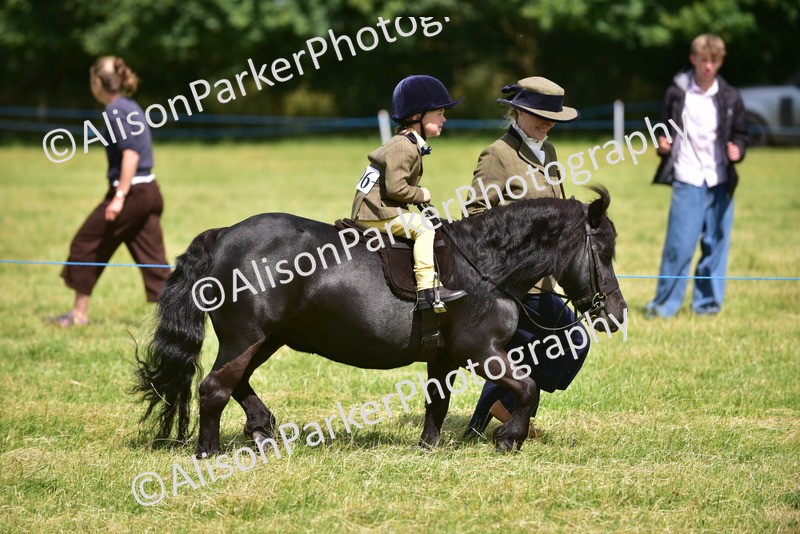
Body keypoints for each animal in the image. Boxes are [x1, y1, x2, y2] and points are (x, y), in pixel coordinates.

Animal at [134, 185, 627, 455]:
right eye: (603, 253)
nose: (617, 314)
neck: (486, 264)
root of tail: (222, 237)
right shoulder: (481, 351)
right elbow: (526, 388)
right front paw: (509, 437)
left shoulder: (444, 358)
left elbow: (437, 403)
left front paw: (428, 448)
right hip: (247, 338)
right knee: (214, 388)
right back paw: (209, 453)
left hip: (267, 338)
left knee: (235, 383)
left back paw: (261, 428)